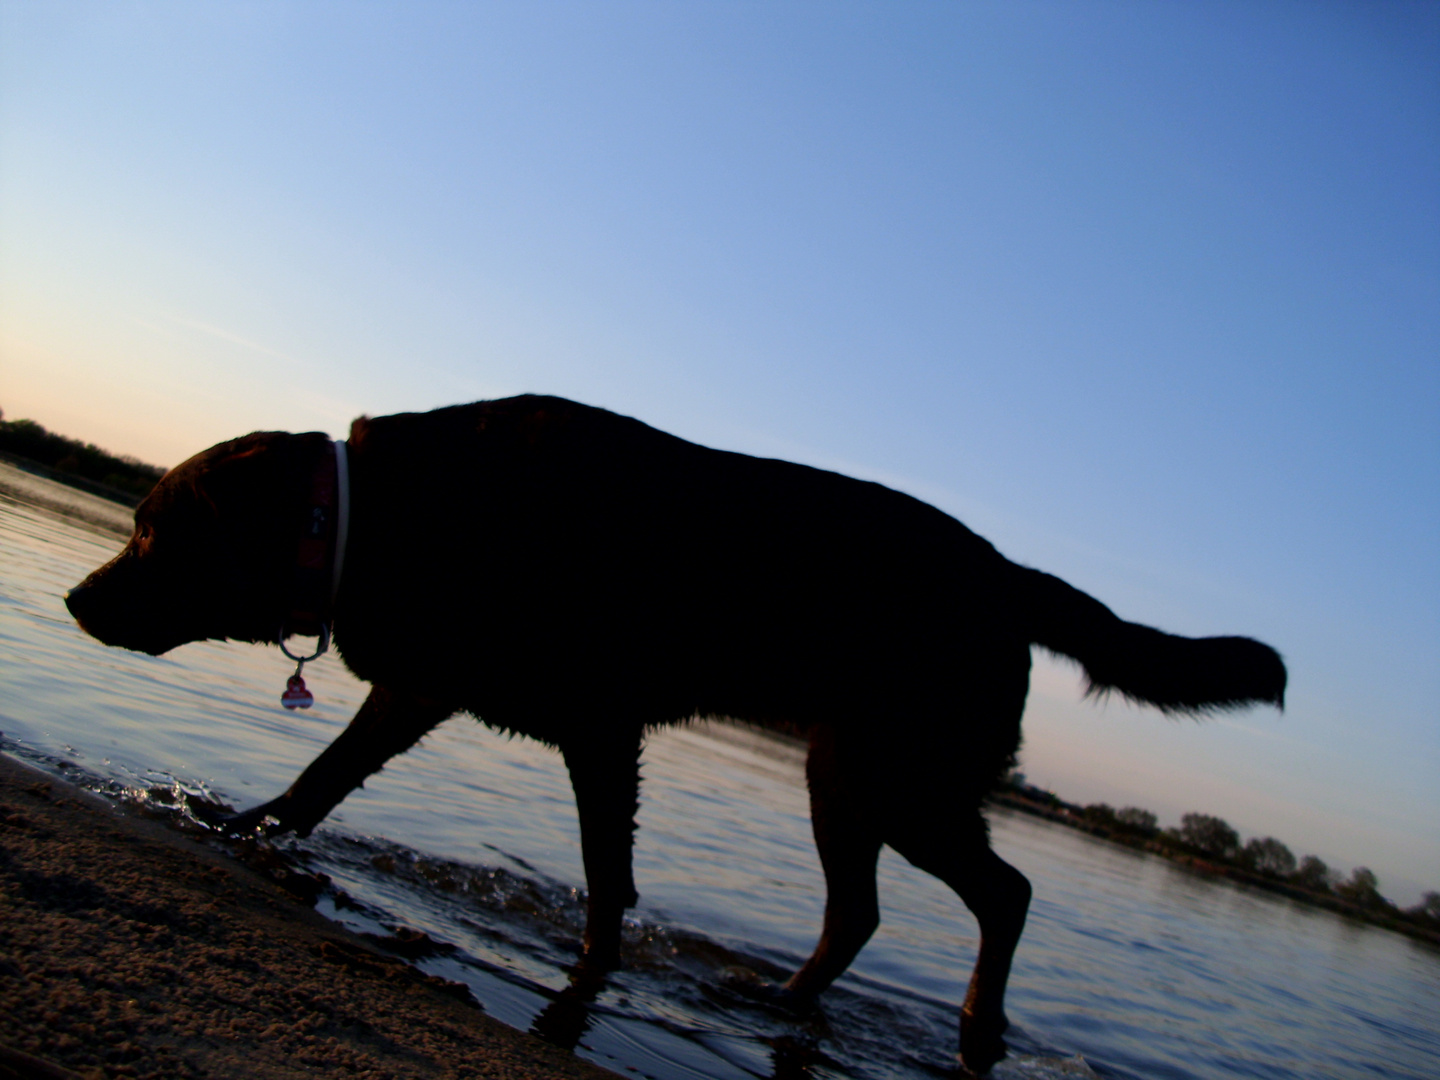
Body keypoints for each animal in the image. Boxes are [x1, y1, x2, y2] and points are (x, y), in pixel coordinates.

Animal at [67, 397, 1284, 1077]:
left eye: (152, 530)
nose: (77, 601)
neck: (378, 512)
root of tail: (1013, 576)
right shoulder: (431, 692)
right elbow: (325, 778)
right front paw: (247, 828)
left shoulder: (598, 729)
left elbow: (607, 877)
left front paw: (595, 972)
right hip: (844, 775)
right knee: (860, 910)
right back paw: (778, 1005)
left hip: (899, 775)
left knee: (1007, 894)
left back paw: (978, 1031)